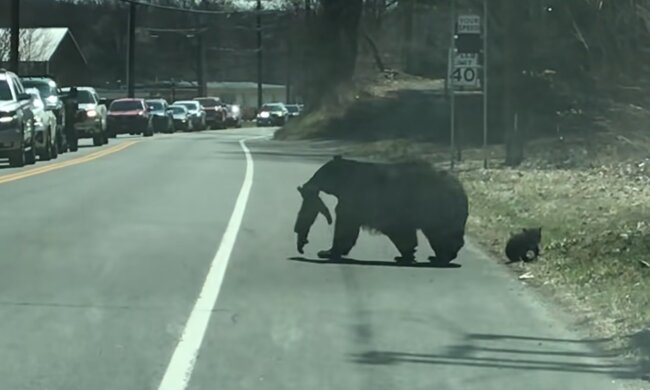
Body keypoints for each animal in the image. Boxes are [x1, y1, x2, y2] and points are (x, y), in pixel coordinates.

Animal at [292, 156, 466, 266]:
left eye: (319, 173)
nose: (307, 185)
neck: (346, 179)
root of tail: (460, 188)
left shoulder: (357, 199)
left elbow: (346, 226)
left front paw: (327, 252)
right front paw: (405, 255)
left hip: (436, 208)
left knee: (441, 234)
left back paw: (441, 256)